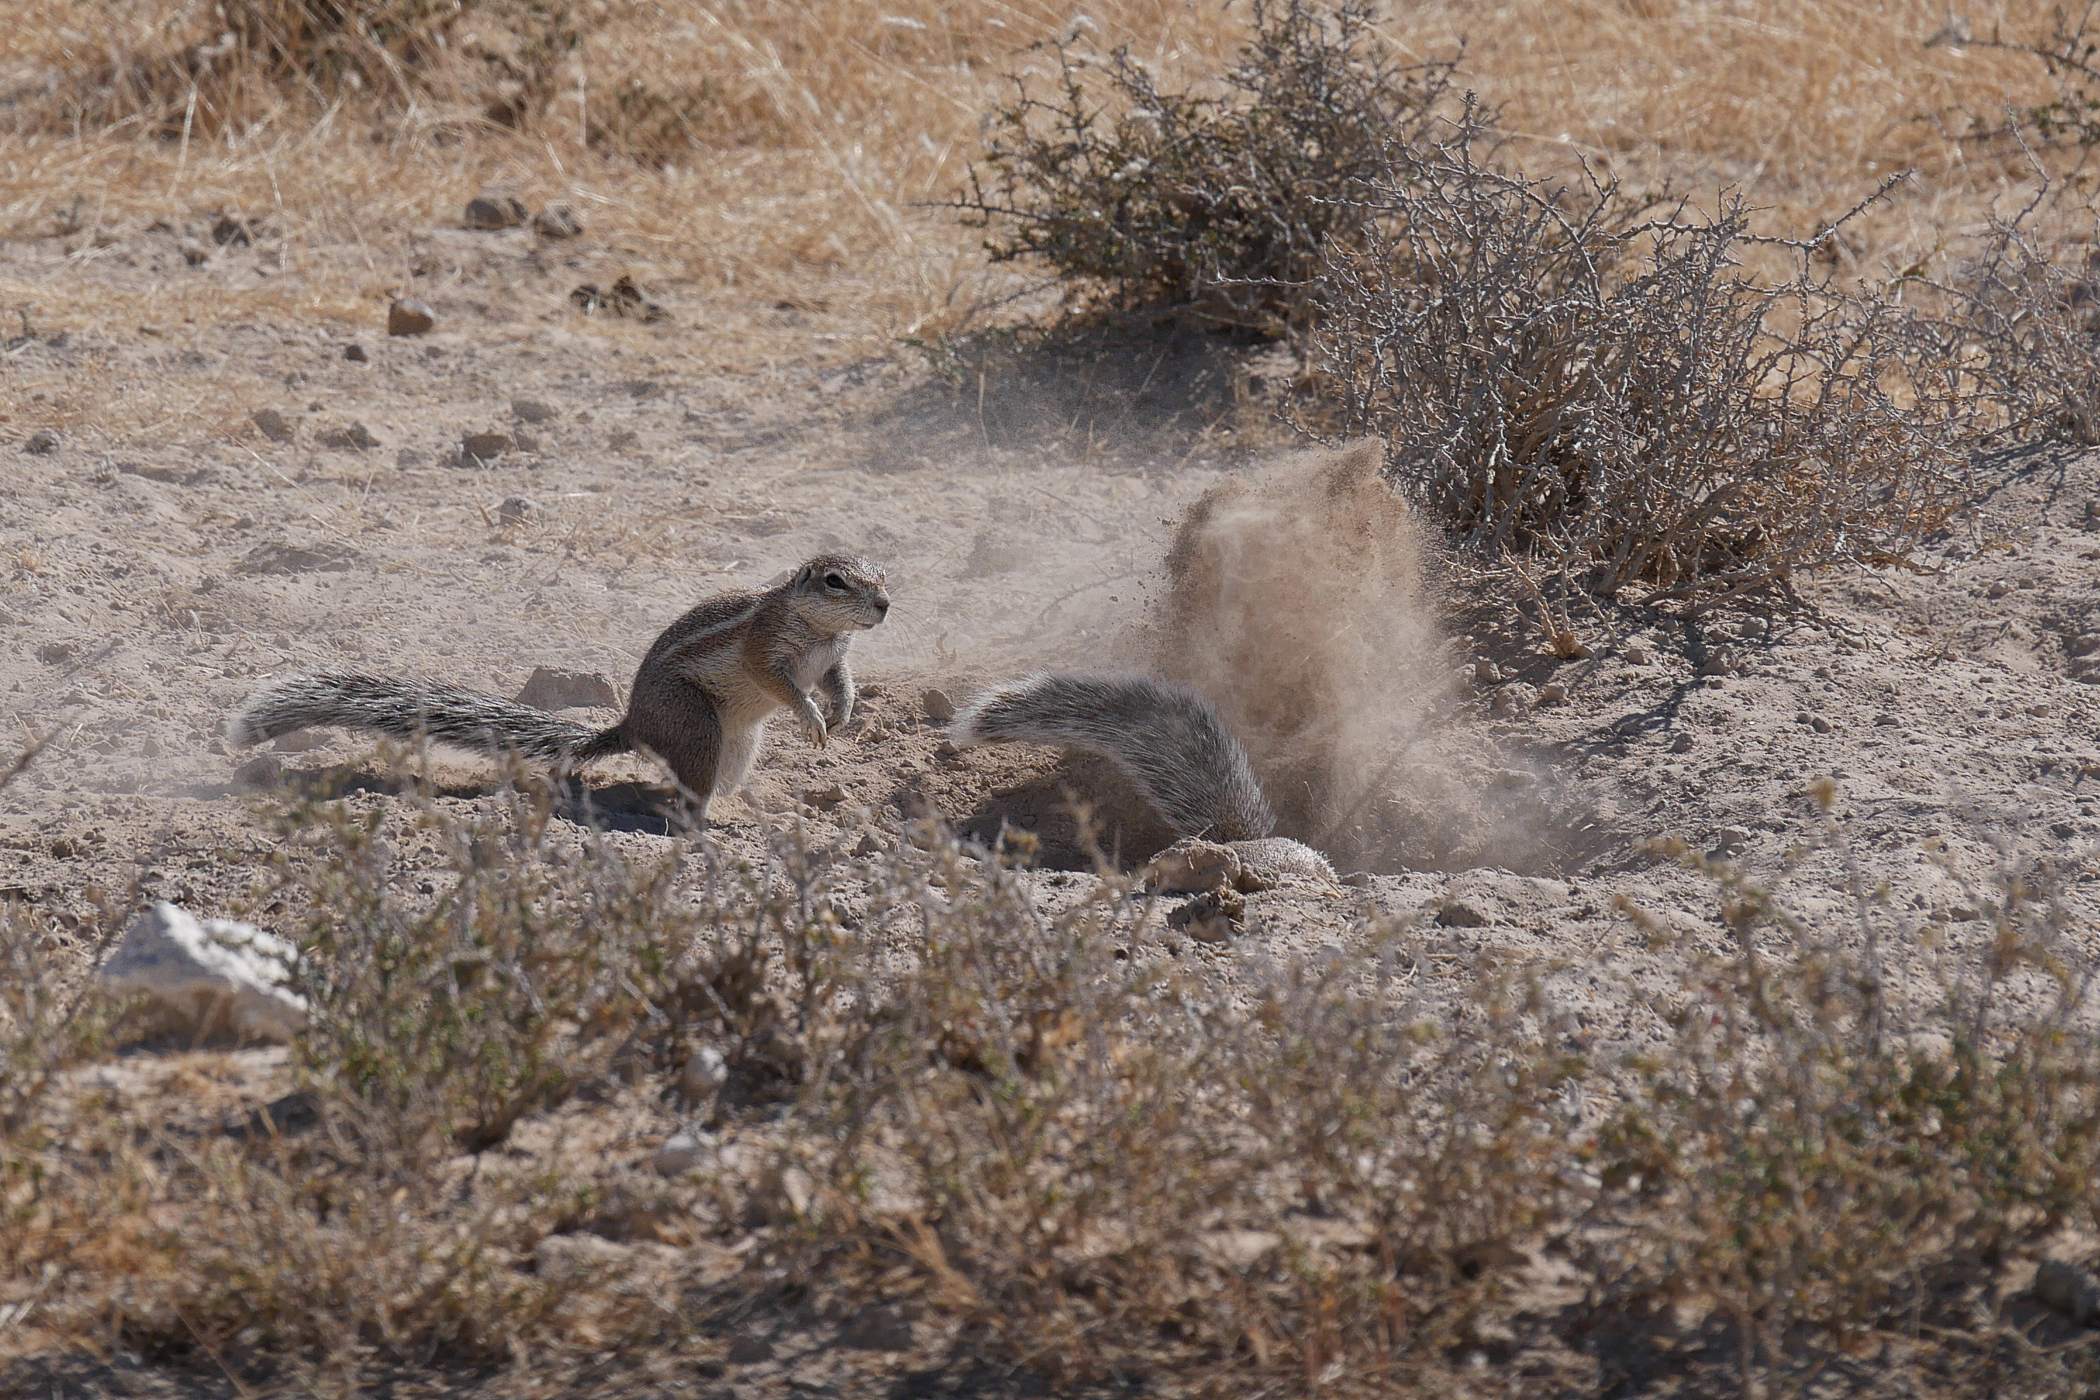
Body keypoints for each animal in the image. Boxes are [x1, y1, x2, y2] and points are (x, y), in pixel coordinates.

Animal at [228, 553, 890, 822]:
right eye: (834, 582)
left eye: (883, 575)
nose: (885, 606)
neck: (820, 630)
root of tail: (633, 726)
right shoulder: (764, 646)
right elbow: (777, 681)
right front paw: (811, 717)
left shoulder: (834, 658)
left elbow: (840, 679)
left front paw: (843, 709)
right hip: (696, 724)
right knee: (685, 794)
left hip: (737, 744)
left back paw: (760, 808)